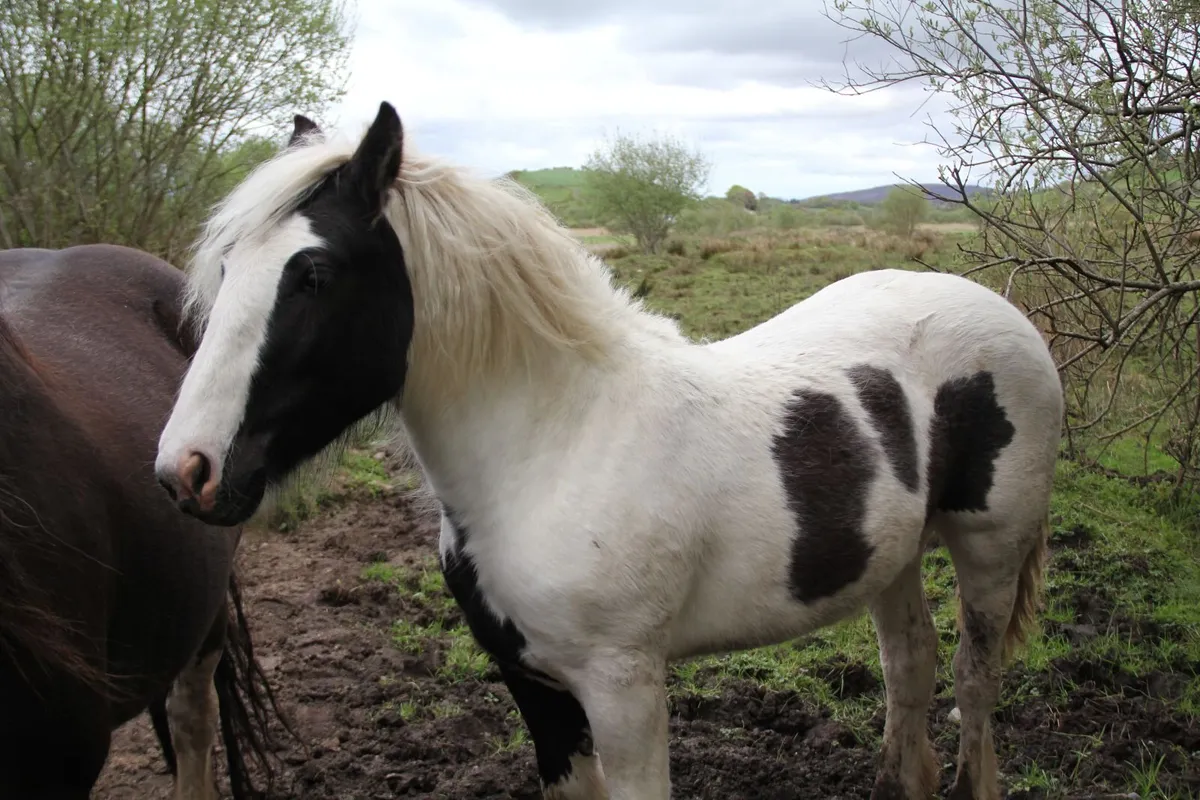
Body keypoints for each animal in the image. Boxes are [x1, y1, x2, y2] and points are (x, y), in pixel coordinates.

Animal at [154, 103, 1064, 800]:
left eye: (313, 275)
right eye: (228, 267)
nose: (186, 472)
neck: (555, 449)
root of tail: (999, 309)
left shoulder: (623, 687)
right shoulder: (534, 687)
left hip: (989, 549)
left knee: (974, 685)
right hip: (892, 556)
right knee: (910, 667)